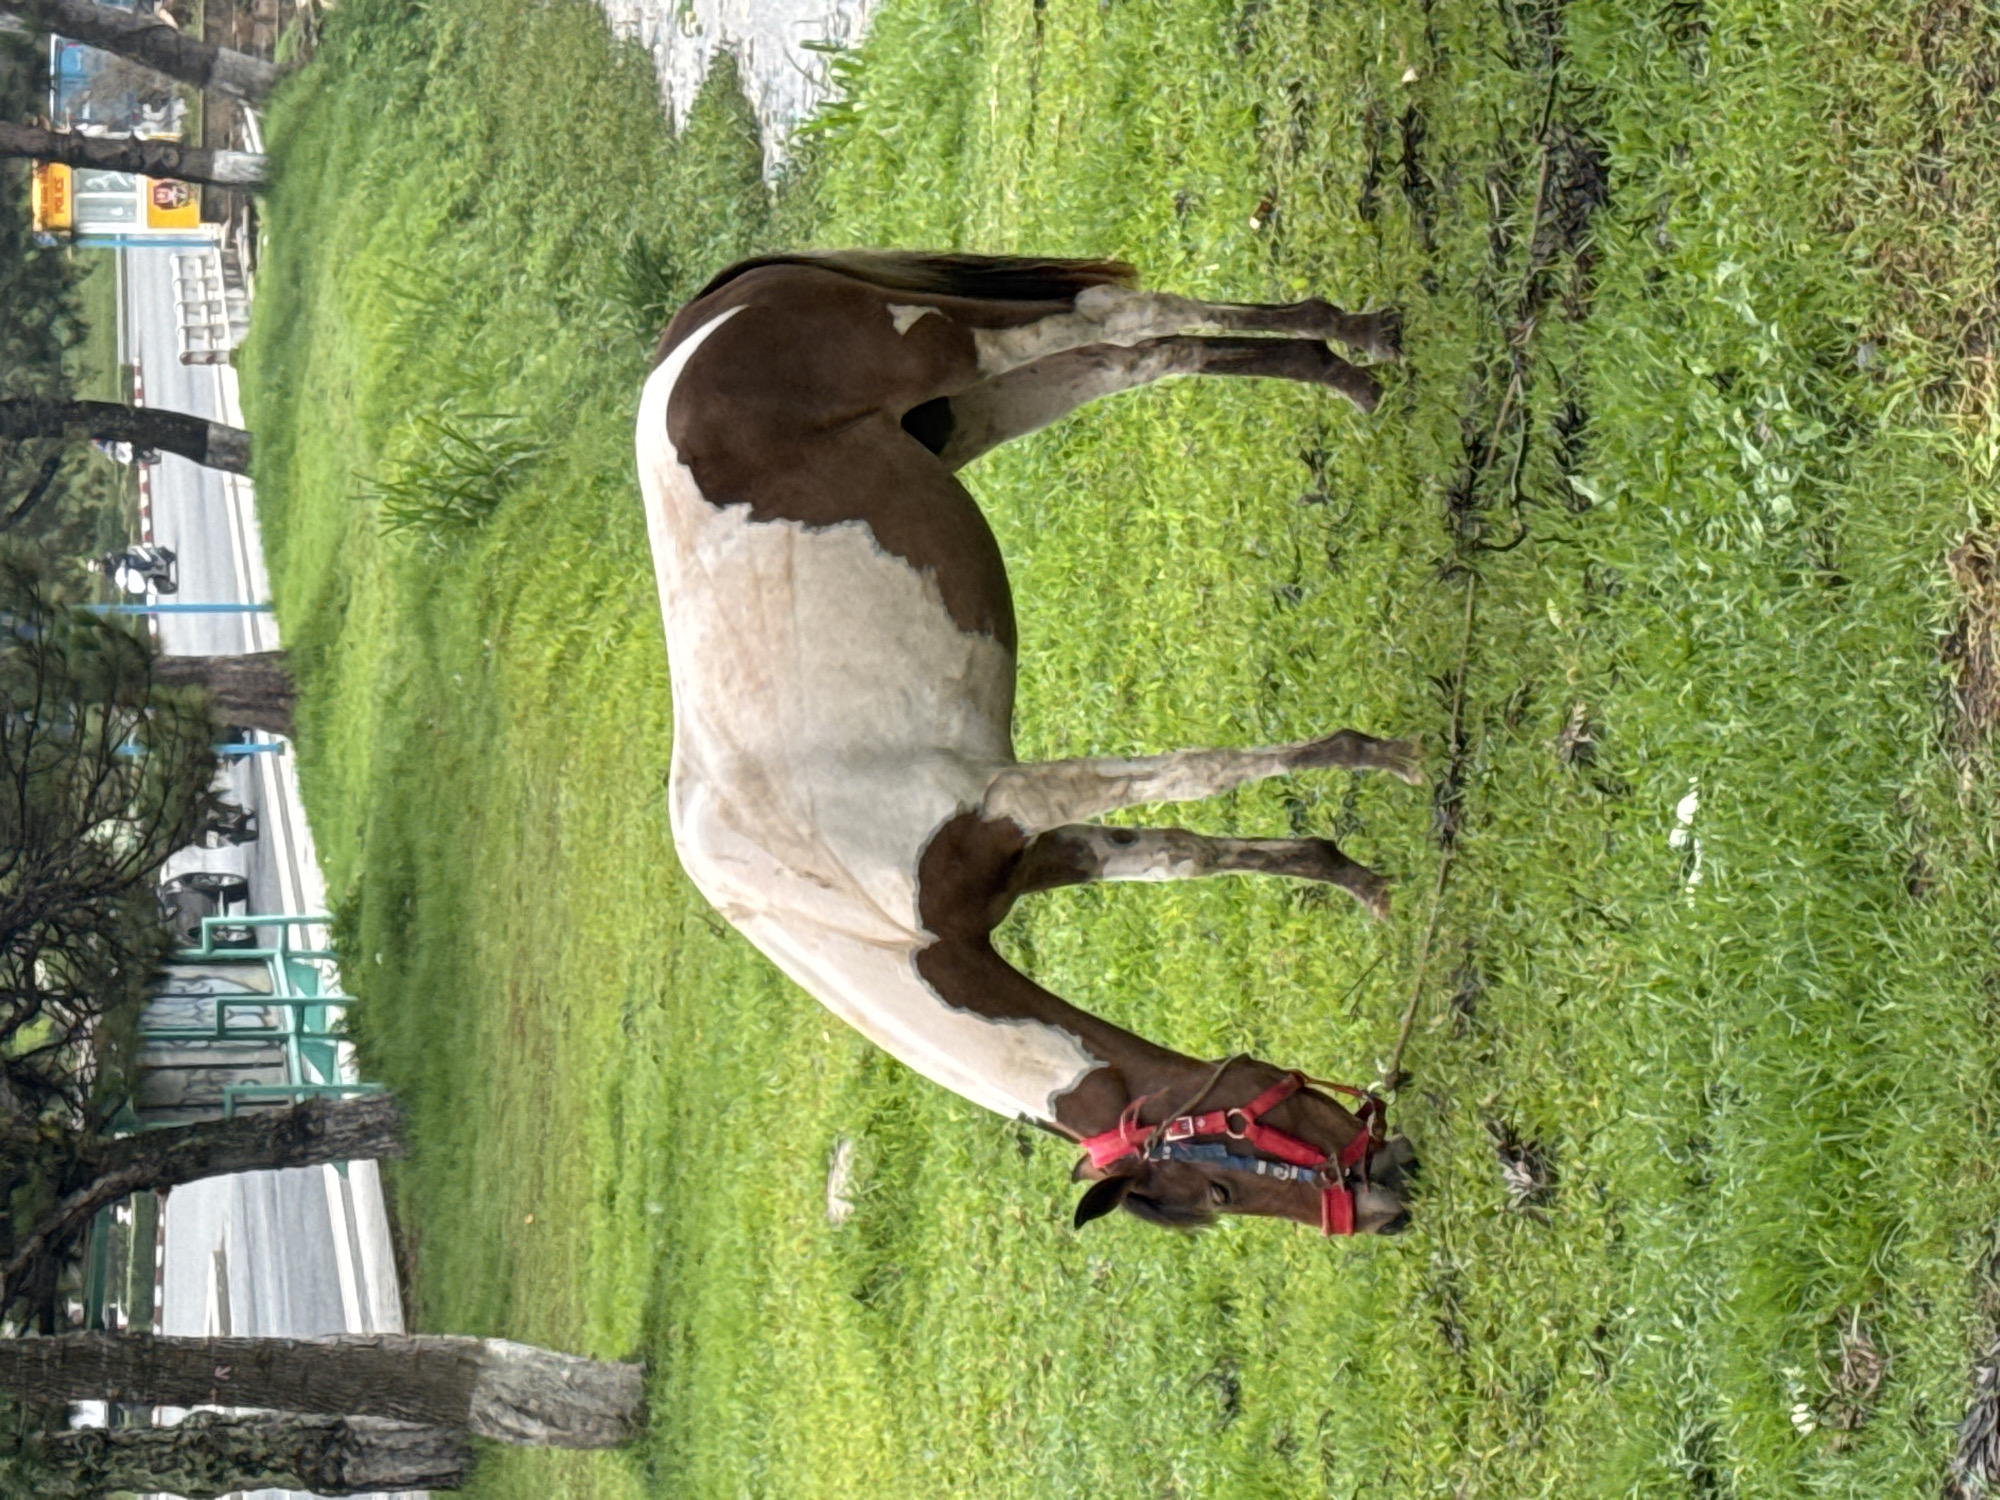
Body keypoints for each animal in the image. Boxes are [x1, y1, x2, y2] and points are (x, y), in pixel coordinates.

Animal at [638, 251, 1423, 1237]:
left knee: (1124, 318)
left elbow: (1199, 775)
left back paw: (1361, 350)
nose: (1387, 1193)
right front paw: (1355, 879)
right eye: (1220, 1191)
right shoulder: (1039, 853)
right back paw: (1343, 367)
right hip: (978, 405)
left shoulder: (1017, 797)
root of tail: (699, 325)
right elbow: (1184, 853)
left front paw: (1392, 760)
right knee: (1147, 357)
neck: (843, 907)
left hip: (961, 346)